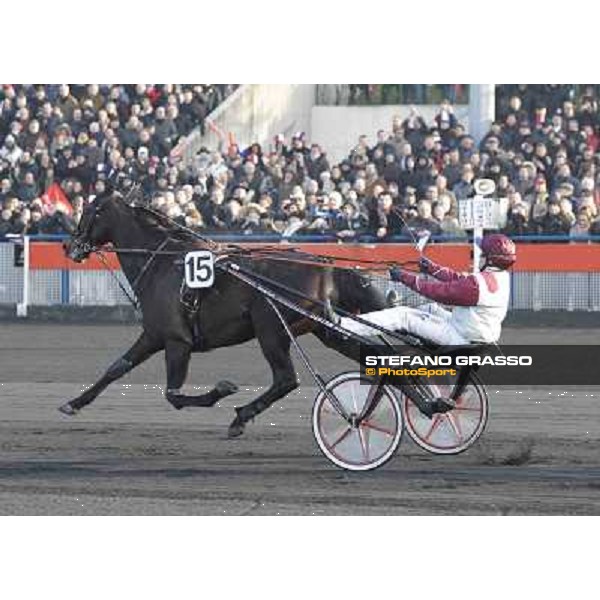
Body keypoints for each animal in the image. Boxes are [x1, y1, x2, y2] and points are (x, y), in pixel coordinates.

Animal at [59, 195, 384, 438]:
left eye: (87, 212)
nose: (68, 246)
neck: (161, 264)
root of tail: (325, 265)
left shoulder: (176, 340)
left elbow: (173, 395)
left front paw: (222, 390)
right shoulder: (153, 335)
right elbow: (117, 368)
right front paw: (74, 403)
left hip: (270, 328)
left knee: (286, 379)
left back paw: (242, 416)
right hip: (326, 331)